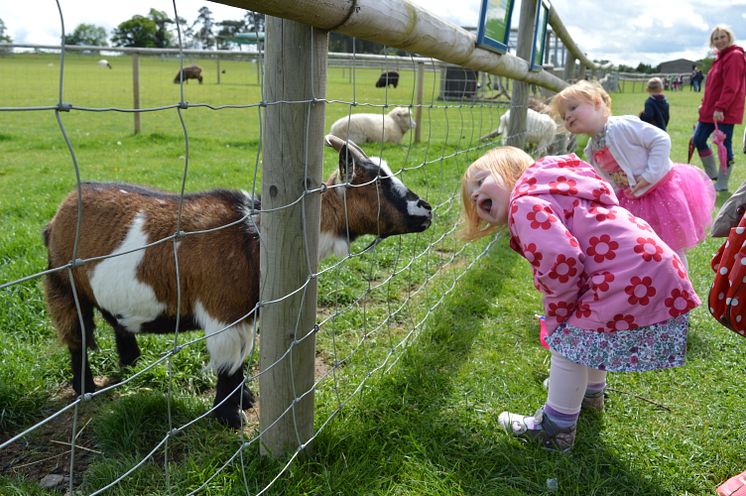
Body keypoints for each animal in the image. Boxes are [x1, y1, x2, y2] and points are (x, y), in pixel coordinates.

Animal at [43, 135, 434, 426]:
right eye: (379, 181)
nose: (427, 211)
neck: (255, 234)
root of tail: (58, 214)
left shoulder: (248, 313)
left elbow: (243, 359)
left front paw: (245, 399)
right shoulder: (226, 313)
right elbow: (230, 364)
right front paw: (230, 416)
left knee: (116, 319)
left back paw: (130, 361)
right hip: (62, 285)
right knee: (77, 336)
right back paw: (85, 387)